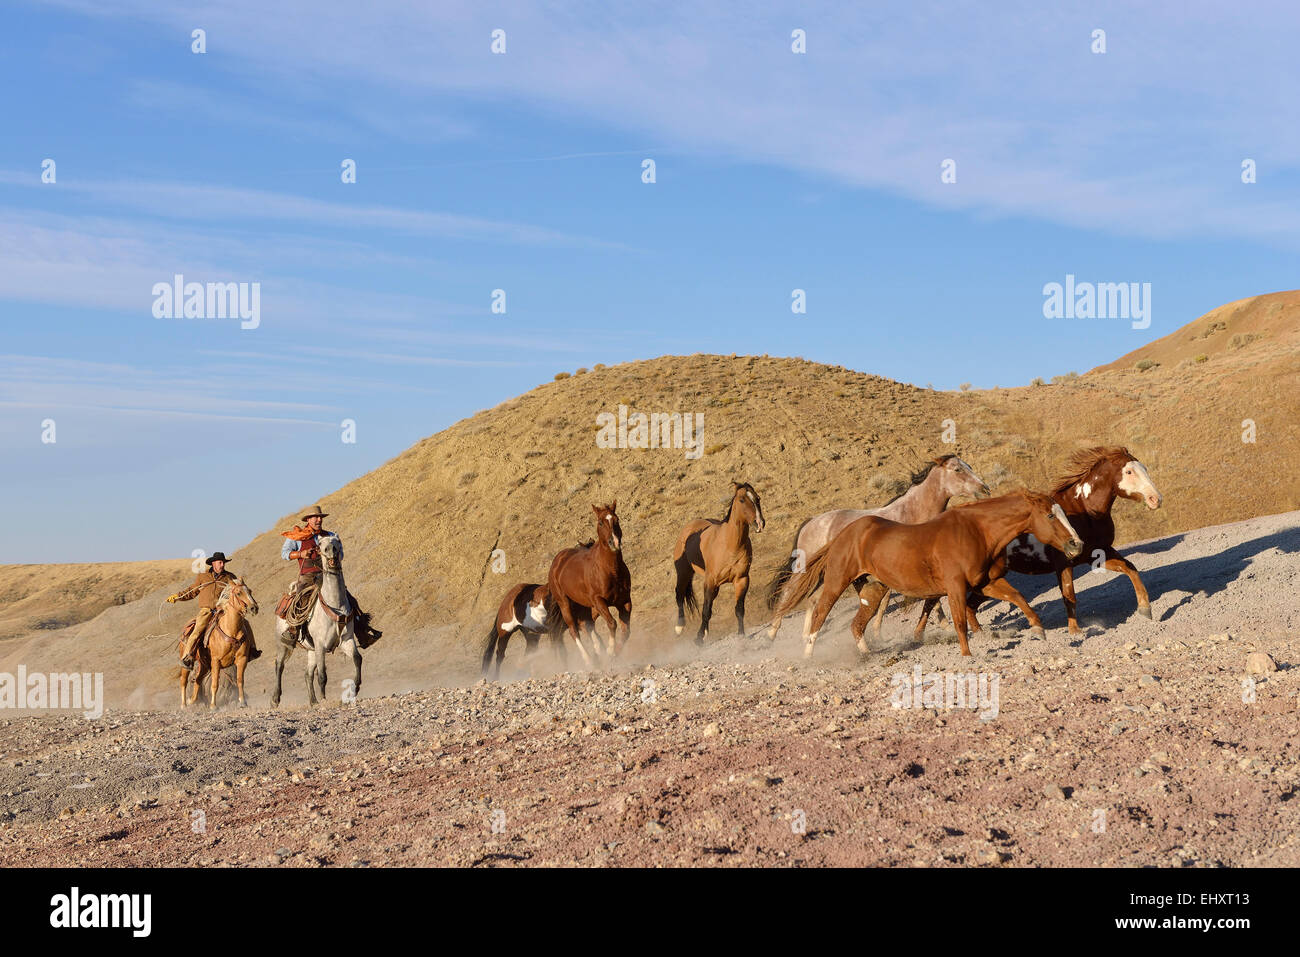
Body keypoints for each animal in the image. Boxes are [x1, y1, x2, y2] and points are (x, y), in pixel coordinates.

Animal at [179, 574, 260, 712]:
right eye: (238, 593)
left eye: (250, 591)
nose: (253, 608)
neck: (231, 630)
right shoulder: (216, 661)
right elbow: (215, 684)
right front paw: (213, 706)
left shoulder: (242, 659)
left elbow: (240, 680)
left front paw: (243, 702)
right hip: (187, 662)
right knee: (184, 681)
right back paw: (184, 705)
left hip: (204, 665)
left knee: (198, 680)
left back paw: (192, 701)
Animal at [546, 504, 631, 670]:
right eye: (600, 522)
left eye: (617, 519)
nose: (614, 542)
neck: (611, 570)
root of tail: (557, 561)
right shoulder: (598, 601)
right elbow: (612, 623)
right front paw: (610, 651)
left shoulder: (624, 601)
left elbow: (626, 630)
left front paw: (614, 653)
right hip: (565, 604)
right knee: (574, 630)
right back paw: (589, 660)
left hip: (582, 606)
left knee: (587, 625)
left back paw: (597, 655)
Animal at [676, 478, 764, 642]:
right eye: (742, 500)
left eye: (758, 498)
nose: (760, 523)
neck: (730, 545)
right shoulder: (710, 582)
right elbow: (706, 610)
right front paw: (698, 639)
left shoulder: (742, 580)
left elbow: (739, 609)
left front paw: (741, 633)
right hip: (684, 572)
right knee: (679, 594)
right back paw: (679, 627)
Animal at [769, 494, 1086, 657]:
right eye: (1050, 516)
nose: (1077, 544)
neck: (976, 531)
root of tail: (842, 534)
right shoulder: (955, 587)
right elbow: (959, 621)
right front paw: (967, 655)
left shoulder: (986, 582)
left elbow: (1018, 597)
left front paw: (1038, 629)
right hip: (837, 582)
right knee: (820, 613)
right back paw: (809, 656)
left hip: (872, 588)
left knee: (857, 624)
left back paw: (866, 654)